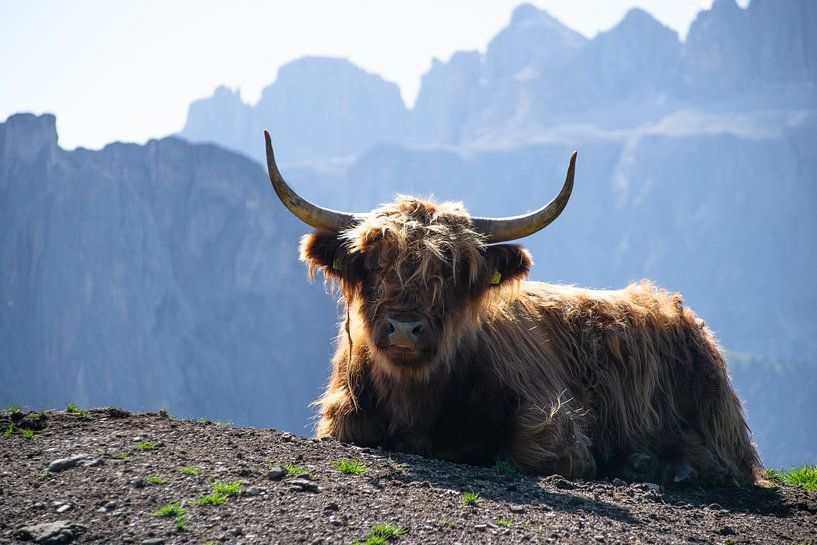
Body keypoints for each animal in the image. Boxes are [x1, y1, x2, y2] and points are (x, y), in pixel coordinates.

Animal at [264, 131, 760, 484]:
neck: (415, 398)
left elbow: (523, 450)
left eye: (452, 272)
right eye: (373, 265)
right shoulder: (343, 417)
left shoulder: (552, 423)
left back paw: (661, 465)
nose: (404, 329)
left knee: (725, 461)